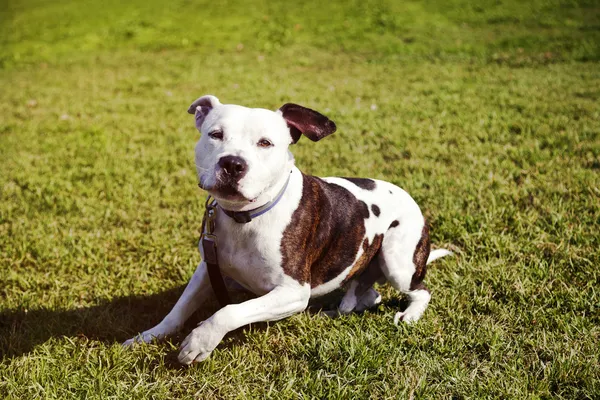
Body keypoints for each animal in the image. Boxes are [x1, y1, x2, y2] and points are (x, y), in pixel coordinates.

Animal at [123, 95, 450, 364]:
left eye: (265, 143)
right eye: (215, 135)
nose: (232, 163)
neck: (246, 217)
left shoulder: (292, 292)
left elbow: (228, 311)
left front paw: (200, 341)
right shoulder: (208, 267)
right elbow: (179, 309)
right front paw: (147, 336)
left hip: (398, 263)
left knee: (421, 291)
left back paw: (409, 315)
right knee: (367, 297)